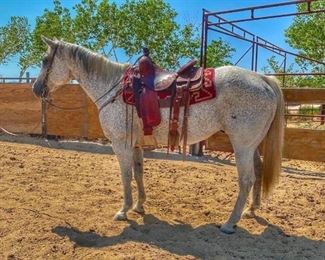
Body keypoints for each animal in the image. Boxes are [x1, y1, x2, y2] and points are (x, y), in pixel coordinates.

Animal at [33, 37, 284, 235]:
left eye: (45, 60)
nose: (36, 89)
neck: (114, 88)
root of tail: (263, 79)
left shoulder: (120, 144)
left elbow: (126, 176)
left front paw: (123, 210)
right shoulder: (136, 145)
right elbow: (138, 173)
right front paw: (139, 206)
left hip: (242, 144)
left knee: (246, 180)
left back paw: (230, 223)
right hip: (252, 145)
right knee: (258, 170)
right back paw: (251, 210)